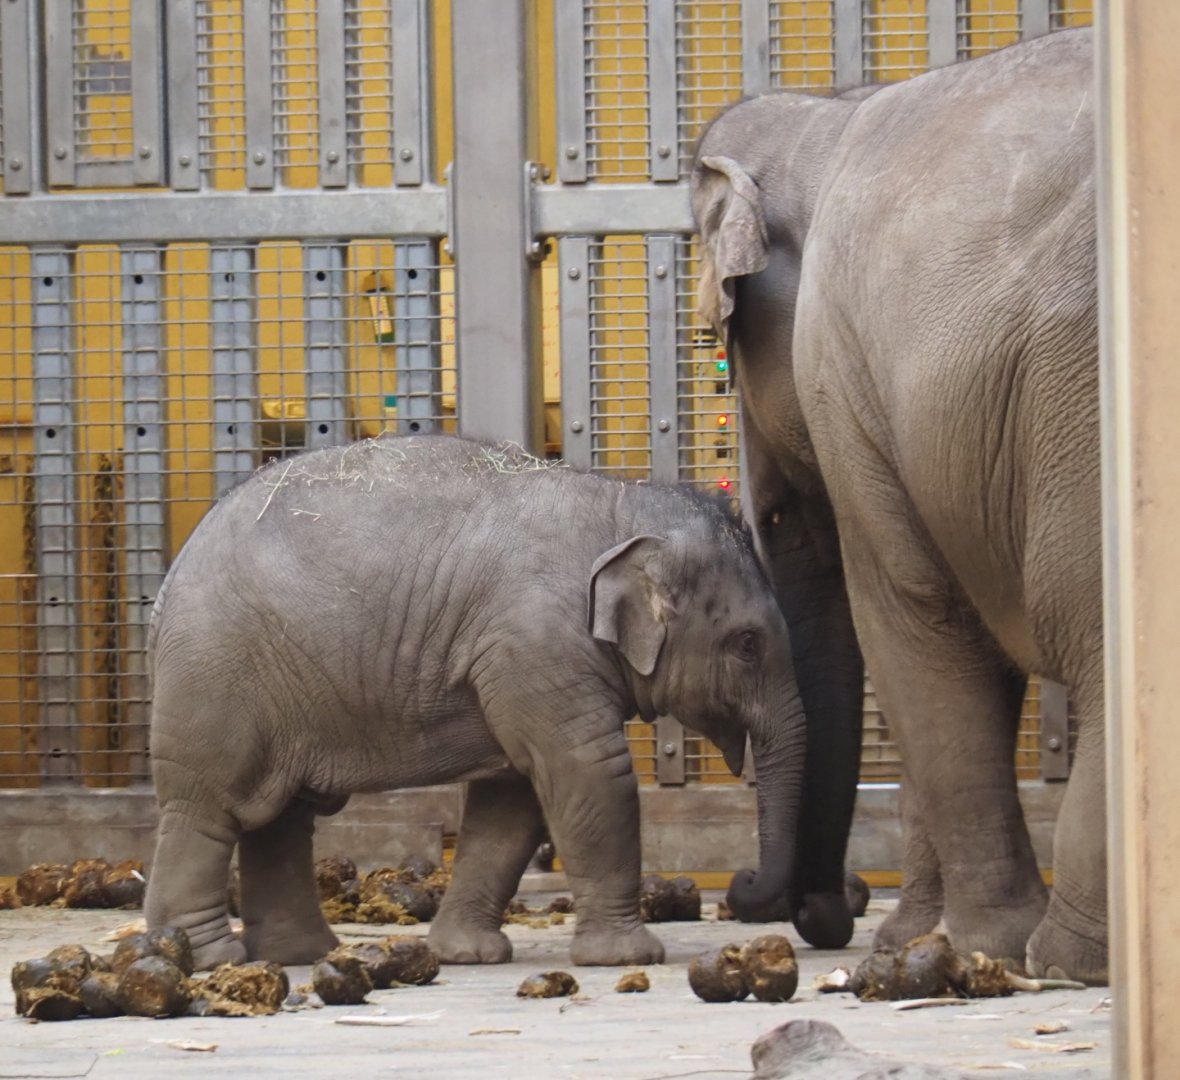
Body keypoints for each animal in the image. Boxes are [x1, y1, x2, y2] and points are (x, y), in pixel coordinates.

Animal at [143, 434, 808, 971]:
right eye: (748, 645)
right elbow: (590, 775)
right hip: (214, 678)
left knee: (280, 817)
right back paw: (212, 959)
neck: (624, 505)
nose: (744, 882)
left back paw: (303, 955)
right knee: (208, 809)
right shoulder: (535, 641)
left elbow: (512, 803)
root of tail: (168, 581)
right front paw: (629, 957)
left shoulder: (519, 664)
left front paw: (468, 954)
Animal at [690, 28, 1103, 982]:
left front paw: (972, 944)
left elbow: (912, 613)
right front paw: (917, 940)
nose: (831, 903)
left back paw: (1066, 958)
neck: (833, 110)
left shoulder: (845, 380)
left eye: (722, 347)